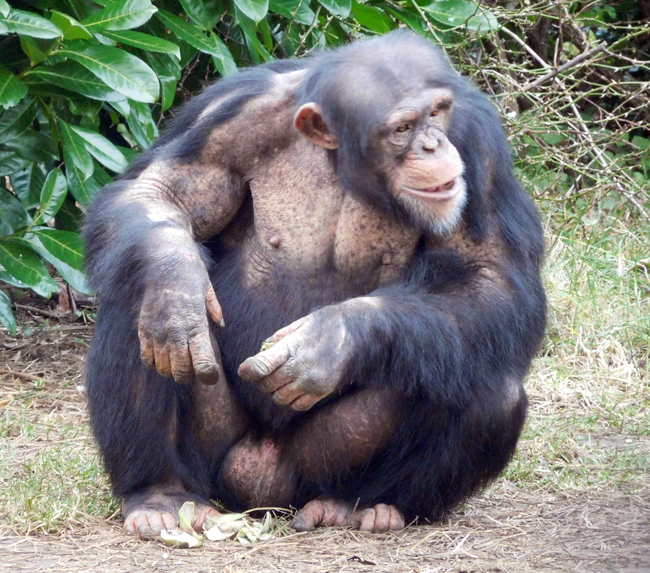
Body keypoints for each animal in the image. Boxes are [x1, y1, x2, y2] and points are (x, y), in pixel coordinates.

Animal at [83, 31, 544, 540]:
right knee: (136, 298)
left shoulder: (478, 145)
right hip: (214, 464)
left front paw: (331, 339)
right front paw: (175, 286)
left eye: (438, 112)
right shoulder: (230, 116)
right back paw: (158, 493)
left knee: (491, 389)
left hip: (313, 467)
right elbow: (159, 191)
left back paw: (364, 505)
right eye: (403, 127)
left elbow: (489, 276)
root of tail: (262, 487)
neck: (341, 160)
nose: (432, 145)